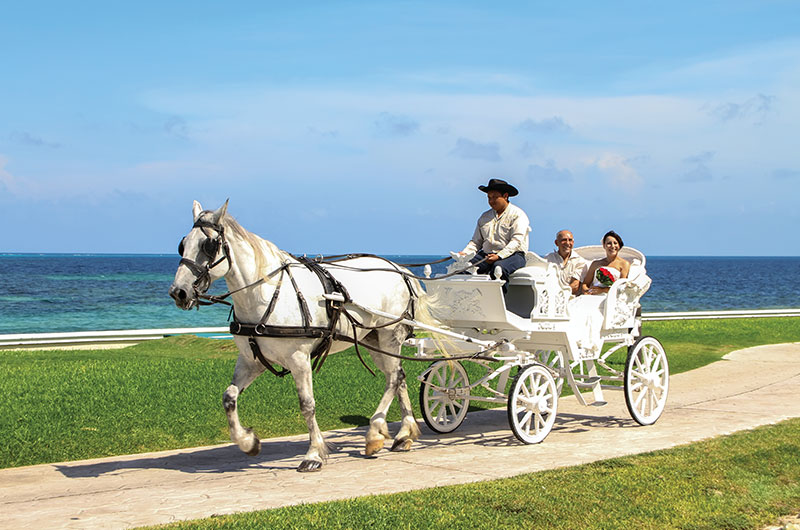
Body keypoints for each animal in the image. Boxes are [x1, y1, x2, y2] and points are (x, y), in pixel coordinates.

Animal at [166, 199, 434, 470]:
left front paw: (313, 453)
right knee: (398, 376)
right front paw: (248, 442)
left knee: (393, 379)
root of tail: (399, 269)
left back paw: (375, 432)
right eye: (183, 244)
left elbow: (307, 405)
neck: (266, 293)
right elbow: (229, 397)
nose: (179, 292)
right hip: (373, 340)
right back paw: (403, 434)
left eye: (209, 245)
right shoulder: (251, 361)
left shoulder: (299, 358)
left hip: (389, 335)